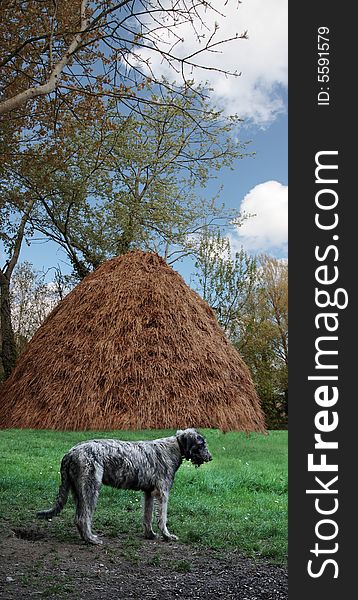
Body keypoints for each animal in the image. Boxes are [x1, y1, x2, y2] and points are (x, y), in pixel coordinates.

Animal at [37, 426, 211, 544]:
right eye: (201, 443)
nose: (210, 458)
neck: (175, 447)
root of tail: (70, 453)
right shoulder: (162, 492)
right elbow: (162, 517)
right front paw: (167, 535)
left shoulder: (149, 493)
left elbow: (147, 515)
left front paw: (150, 534)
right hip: (91, 488)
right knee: (82, 517)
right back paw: (91, 539)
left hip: (78, 490)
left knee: (78, 516)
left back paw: (86, 537)